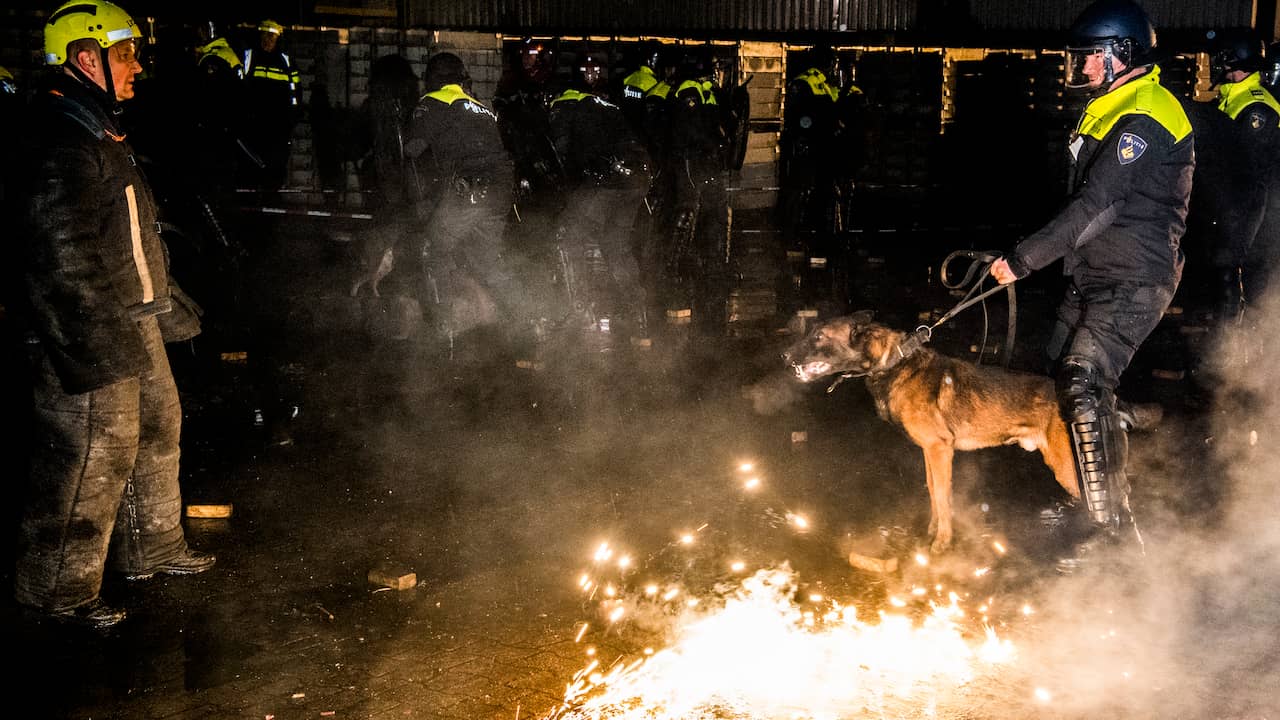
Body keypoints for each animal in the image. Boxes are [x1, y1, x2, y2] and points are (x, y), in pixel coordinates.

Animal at [778, 311, 1080, 550]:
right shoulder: (929, 451)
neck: (894, 362)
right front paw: (934, 529)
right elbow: (934, 491)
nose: (784, 355)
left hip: (1066, 468)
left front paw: (942, 542)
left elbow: (944, 498)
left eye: (819, 336)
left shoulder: (940, 450)